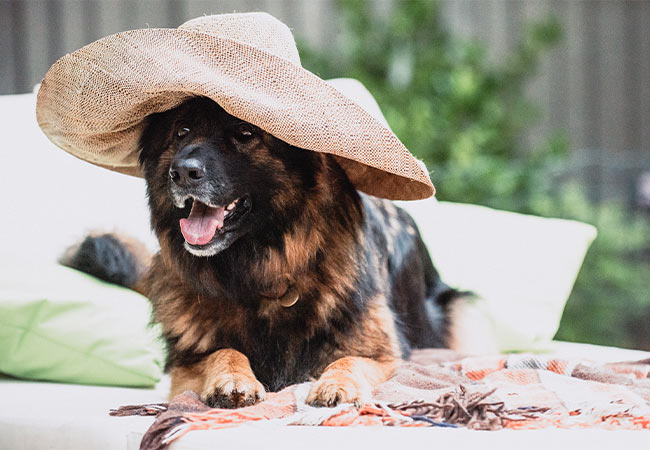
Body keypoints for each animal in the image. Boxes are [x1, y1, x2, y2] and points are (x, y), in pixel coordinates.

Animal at [63, 96, 470, 410]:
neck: (265, 272)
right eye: (181, 131)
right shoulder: (185, 364)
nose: (180, 173)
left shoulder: (387, 355)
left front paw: (337, 384)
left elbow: (351, 360)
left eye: (245, 133)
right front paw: (233, 379)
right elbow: (222, 351)